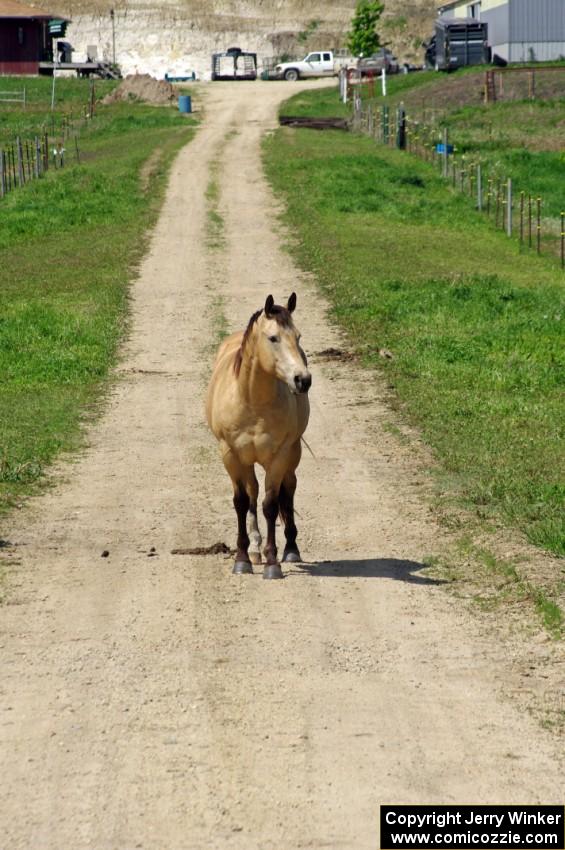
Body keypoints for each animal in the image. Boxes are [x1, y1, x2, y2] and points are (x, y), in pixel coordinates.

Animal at [206, 292, 312, 576]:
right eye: (273, 338)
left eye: (298, 337)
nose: (303, 380)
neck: (252, 402)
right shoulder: (230, 454)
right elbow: (242, 502)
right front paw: (242, 558)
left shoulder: (279, 456)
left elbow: (271, 505)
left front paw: (273, 561)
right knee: (252, 490)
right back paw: (254, 548)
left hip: (292, 453)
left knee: (289, 489)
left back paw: (290, 548)